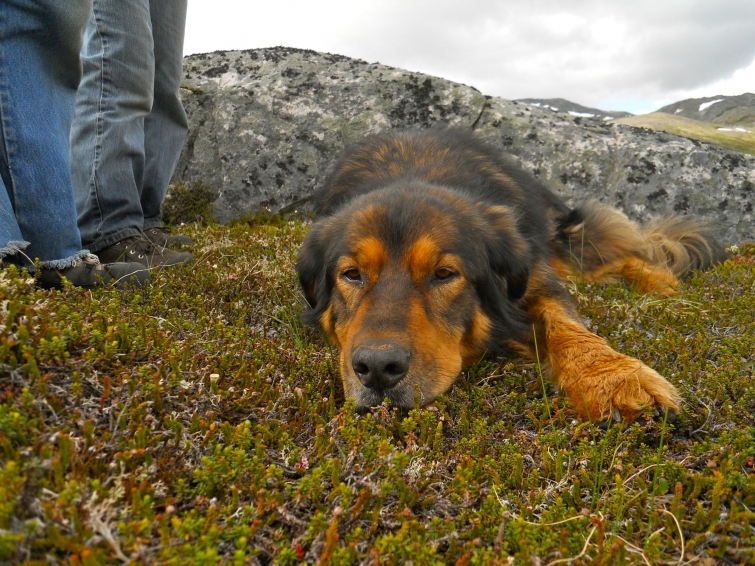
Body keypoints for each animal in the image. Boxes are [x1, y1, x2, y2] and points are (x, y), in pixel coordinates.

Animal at [296, 127, 728, 422]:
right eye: (352, 274)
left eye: (444, 274)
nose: (377, 369)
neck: (411, 171)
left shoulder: (533, 275)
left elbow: (568, 325)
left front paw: (613, 378)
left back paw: (658, 280)